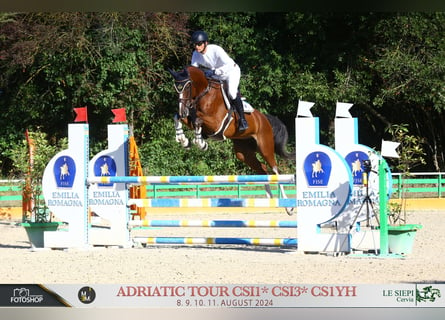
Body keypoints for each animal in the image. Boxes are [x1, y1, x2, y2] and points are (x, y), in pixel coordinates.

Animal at [167, 65, 294, 215]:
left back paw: (288, 207)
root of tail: (264, 118)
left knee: (275, 171)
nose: (183, 110)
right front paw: (183, 139)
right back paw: (270, 199)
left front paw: (201, 143)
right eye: (176, 88)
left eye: (187, 86)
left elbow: (198, 120)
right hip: (243, 153)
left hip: (265, 148)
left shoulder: (215, 123)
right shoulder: (190, 117)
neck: (204, 94)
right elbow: (179, 118)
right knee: (262, 169)